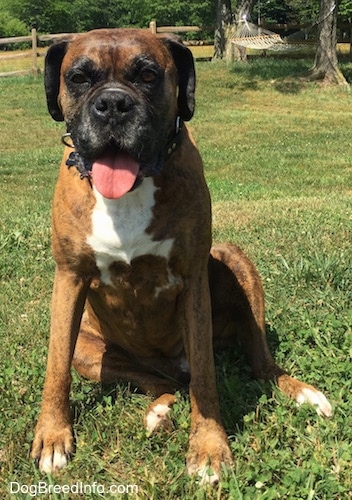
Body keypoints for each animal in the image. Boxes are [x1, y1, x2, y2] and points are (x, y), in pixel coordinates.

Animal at [31, 29, 332, 482]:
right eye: (79, 78)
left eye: (148, 75)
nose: (113, 105)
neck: (132, 188)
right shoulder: (69, 279)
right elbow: (55, 367)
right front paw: (53, 437)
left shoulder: (193, 283)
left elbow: (205, 380)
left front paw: (208, 447)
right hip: (92, 351)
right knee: (158, 382)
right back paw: (160, 410)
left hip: (233, 259)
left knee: (258, 362)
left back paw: (303, 393)